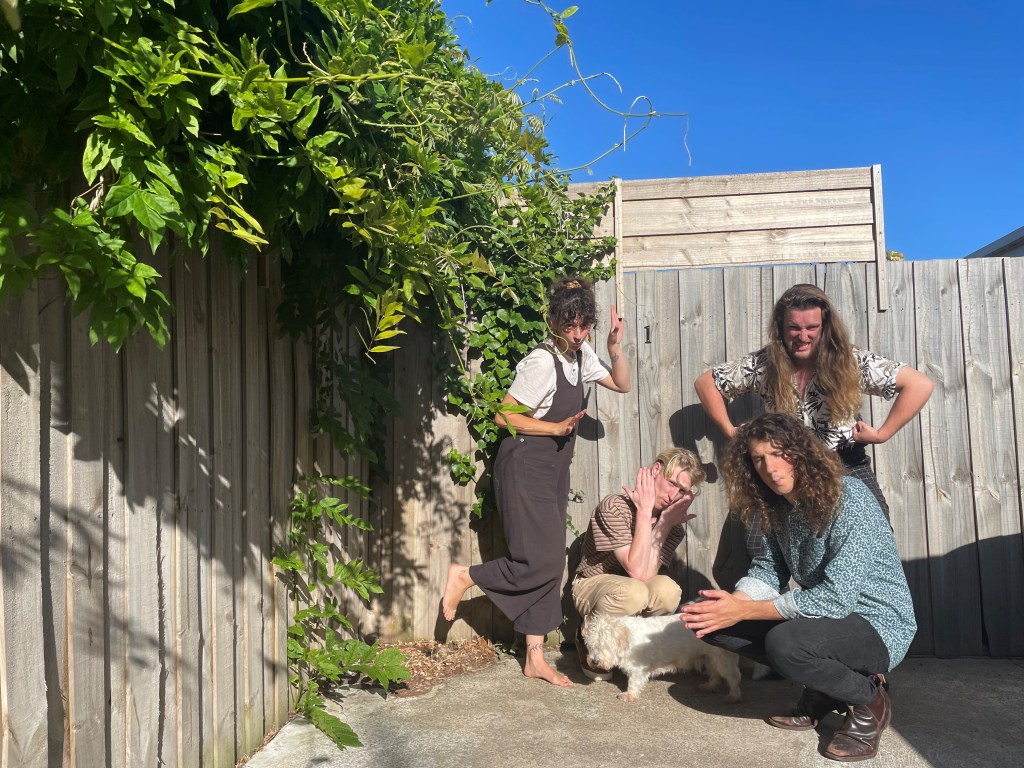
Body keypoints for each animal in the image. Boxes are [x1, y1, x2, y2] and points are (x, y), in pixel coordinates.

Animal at [583, 612, 742, 703]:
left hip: (722, 659)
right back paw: (709, 685)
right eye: (591, 645)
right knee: (714, 674)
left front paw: (630, 695)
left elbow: (634, 682)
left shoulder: (638, 669)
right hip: (710, 657)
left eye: (605, 645)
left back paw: (733, 695)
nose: (594, 661)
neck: (628, 638)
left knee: (733, 677)